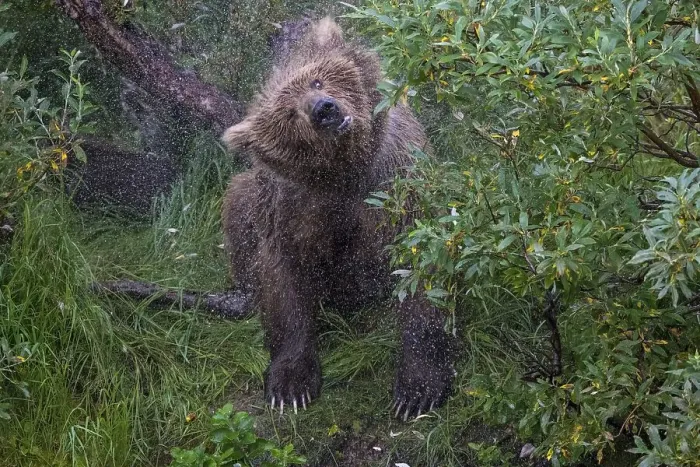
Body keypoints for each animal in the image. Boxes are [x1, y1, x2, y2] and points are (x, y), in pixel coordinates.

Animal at [221, 17, 455, 420]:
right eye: (287, 113)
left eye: (316, 80)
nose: (324, 109)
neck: (346, 172)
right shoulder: (295, 208)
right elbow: (284, 278)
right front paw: (290, 385)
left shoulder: (394, 178)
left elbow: (420, 267)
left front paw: (417, 389)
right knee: (238, 207)